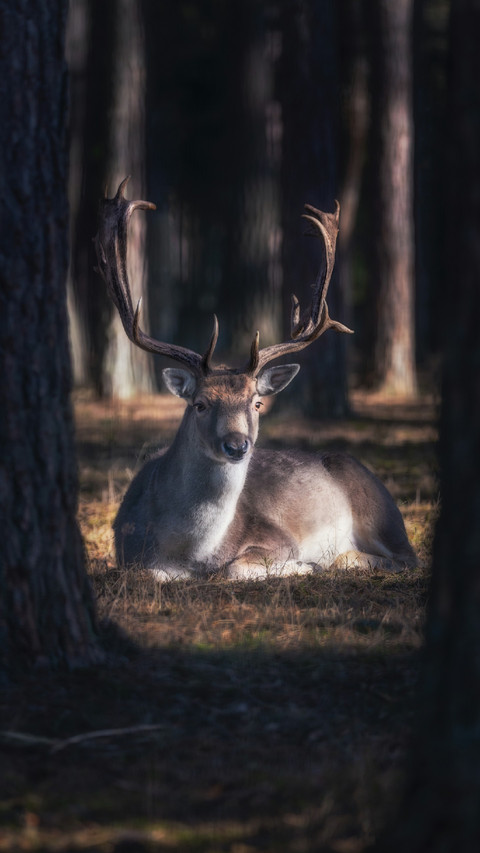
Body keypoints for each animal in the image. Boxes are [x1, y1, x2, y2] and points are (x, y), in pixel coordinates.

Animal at [94, 177, 417, 581]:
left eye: (257, 402)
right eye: (200, 404)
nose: (237, 445)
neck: (190, 553)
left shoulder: (277, 538)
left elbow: (233, 569)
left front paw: (306, 564)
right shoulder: (128, 552)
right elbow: (149, 572)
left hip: (379, 511)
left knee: (407, 558)